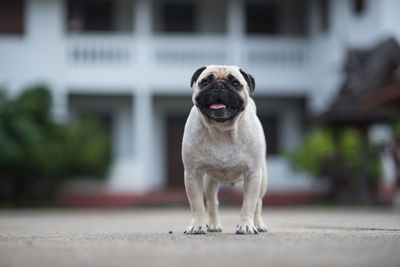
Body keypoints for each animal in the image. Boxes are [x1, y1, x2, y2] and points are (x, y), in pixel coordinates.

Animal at [183, 66, 268, 236]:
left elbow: (249, 204)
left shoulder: (253, 175)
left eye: (235, 83)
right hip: (209, 182)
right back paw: (214, 225)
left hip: (262, 180)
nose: (219, 86)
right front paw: (197, 226)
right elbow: (197, 204)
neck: (221, 130)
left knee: (258, 203)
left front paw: (246, 225)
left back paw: (258, 224)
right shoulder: (192, 174)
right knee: (212, 202)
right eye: (204, 82)